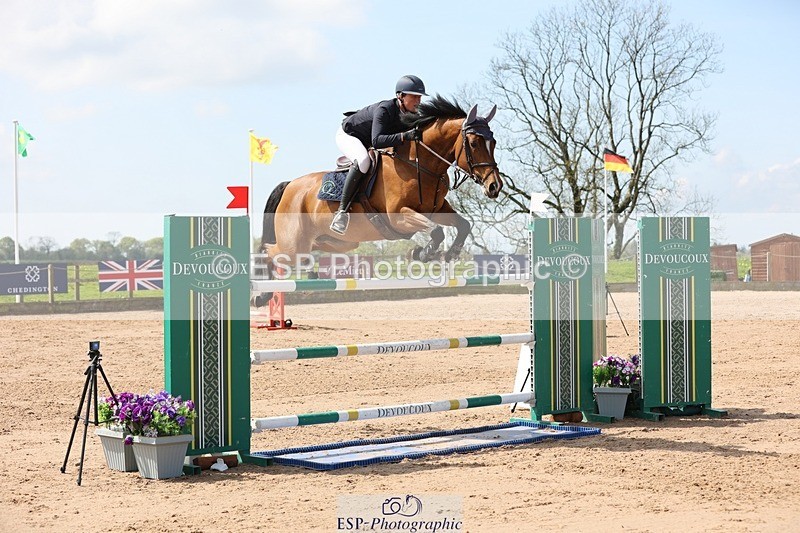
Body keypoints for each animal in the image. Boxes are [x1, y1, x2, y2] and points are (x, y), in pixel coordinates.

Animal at [252, 95, 502, 306]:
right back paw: (261, 295)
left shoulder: (438, 209)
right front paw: (423, 253)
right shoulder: (398, 217)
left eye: (494, 143)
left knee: (299, 252)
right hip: (294, 244)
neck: (419, 164)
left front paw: (448, 254)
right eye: (473, 143)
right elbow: (436, 231)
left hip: (336, 242)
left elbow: (463, 225)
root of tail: (290, 186)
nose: (494, 186)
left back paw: (299, 278)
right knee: (269, 252)